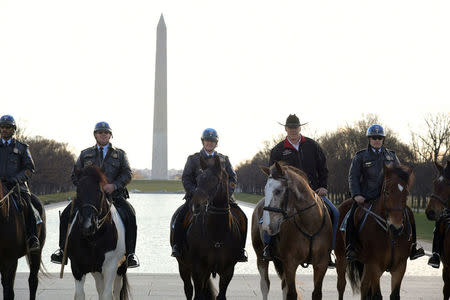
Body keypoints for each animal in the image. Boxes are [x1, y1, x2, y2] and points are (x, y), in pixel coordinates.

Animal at [67, 166, 130, 300]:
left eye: (99, 192)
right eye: (78, 191)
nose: (88, 225)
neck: (93, 238)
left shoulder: (110, 267)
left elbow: (108, 294)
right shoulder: (77, 267)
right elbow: (79, 295)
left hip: (121, 267)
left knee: (116, 290)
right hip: (96, 270)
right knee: (100, 288)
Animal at [170, 155, 246, 300]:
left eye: (214, 179)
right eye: (199, 179)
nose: (195, 205)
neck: (217, 232)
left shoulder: (228, 270)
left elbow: (221, 295)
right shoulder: (198, 268)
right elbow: (197, 295)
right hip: (183, 265)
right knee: (188, 289)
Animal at [251, 162, 332, 300]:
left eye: (278, 191)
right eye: (265, 189)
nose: (266, 227)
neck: (310, 225)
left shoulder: (321, 264)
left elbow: (316, 293)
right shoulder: (290, 263)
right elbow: (291, 294)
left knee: (283, 286)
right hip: (261, 257)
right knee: (265, 285)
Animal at [334, 164, 414, 300]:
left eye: (406, 193)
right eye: (387, 192)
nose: (396, 227)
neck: (390, 235)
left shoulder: (400, 267)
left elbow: (394, 295)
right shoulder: (374, 265)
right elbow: (376, 295)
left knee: (364, 286)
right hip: (341, 257)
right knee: (341, 285)